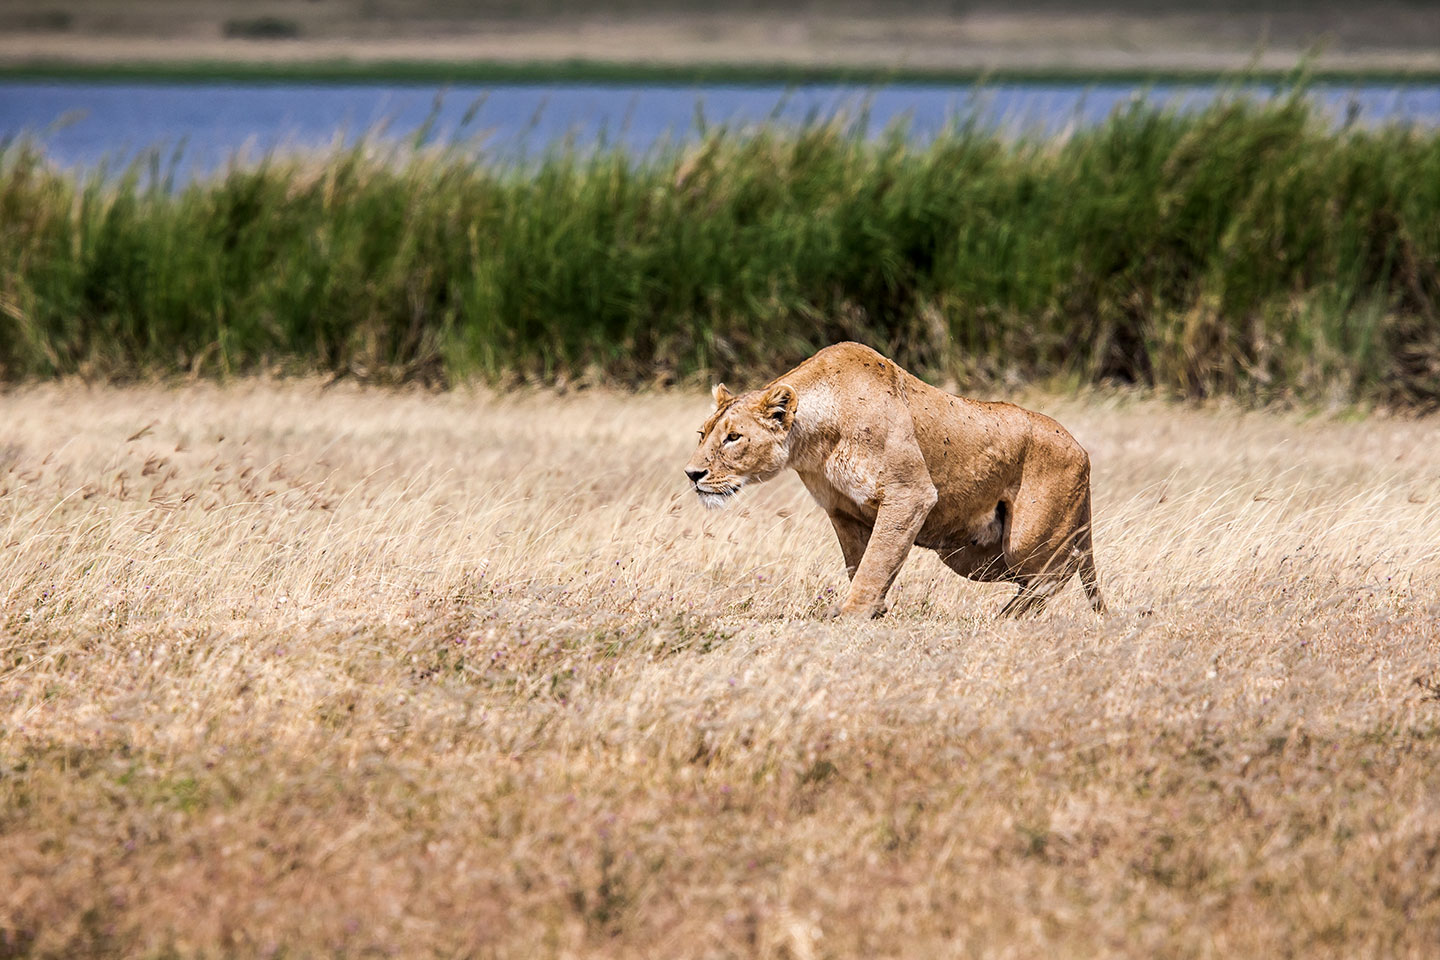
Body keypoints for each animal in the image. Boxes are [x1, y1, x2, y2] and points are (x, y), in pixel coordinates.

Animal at [684, 342, 1106, 618]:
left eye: (733, 437)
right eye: (702, 434)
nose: (692, 474)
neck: (816, 440)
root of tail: (1081, 449)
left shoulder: (911, 494)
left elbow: (876, 560)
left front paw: (853, 613)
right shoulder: (842, 510)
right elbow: (861, 561)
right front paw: (874, 610)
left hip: (1024, 540)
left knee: (1056, 572)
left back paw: (1006, 619)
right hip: (974, 555)